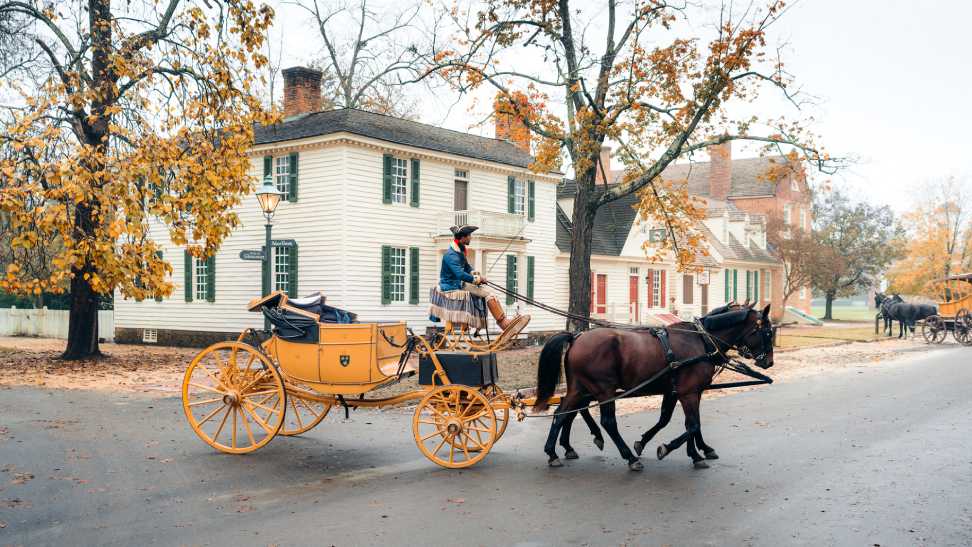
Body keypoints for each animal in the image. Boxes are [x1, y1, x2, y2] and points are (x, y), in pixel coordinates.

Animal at [532, 304, 776, 470]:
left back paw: (553, 452)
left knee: (562, 413)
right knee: (607, 422)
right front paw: (669, 448)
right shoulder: (688, 392)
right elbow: (693, 425)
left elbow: (677, 421)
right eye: (766, 332)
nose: (769, 362)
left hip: (579, 388)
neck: (701, 341)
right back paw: (629, 458)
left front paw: (698, 451)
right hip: (603, 389)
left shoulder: (679, 391)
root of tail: (576, 337)